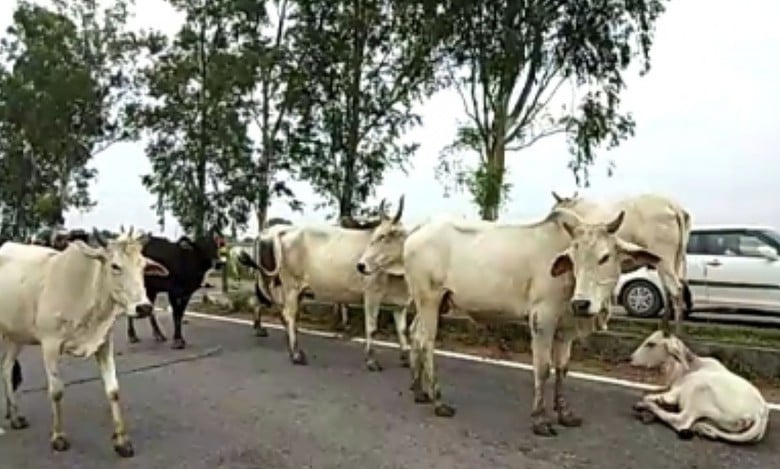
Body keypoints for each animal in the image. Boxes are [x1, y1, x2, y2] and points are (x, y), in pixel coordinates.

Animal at [0, 227, 169, 456]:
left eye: (143, 267)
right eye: (115, 266)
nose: (144, 307)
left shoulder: (104, 343)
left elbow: (113, 390)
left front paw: (122, 441)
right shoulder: (50, 345)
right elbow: (56, 391)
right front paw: (58, 437)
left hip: (16, 335)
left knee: (6, 368)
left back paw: (14, 415)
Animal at [242, 197, 411, 370]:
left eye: (385, 236)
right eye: (377, 236)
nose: (362, 265)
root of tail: (282, 231)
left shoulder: (400, 303)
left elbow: (402, 330)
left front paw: (406, 357)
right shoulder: (372, 294)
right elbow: (372, 327)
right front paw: (371, 360)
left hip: (291, 287)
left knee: (280, 310)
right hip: (287, 285)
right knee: (286, 313)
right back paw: (295, 353)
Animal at [356, 207, 662, 436]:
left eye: (605, 257)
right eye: (573, 259)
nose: (582, 303)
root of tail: (418, 232)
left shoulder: (566, 328)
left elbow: (563, 369)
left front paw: (564, 413)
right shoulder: (542, 318)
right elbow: (543, 368)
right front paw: (540, 419)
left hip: (432, 303)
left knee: (416, 335)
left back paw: (420, 391)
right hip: (428, 298)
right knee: (426, 342)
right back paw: (438, 400)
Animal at [550, 192, 691, 335]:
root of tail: (674, 206)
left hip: (664, 258)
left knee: (676, 290)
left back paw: (676, 332)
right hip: (673, 261)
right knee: (669, 290)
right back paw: (664, 327)